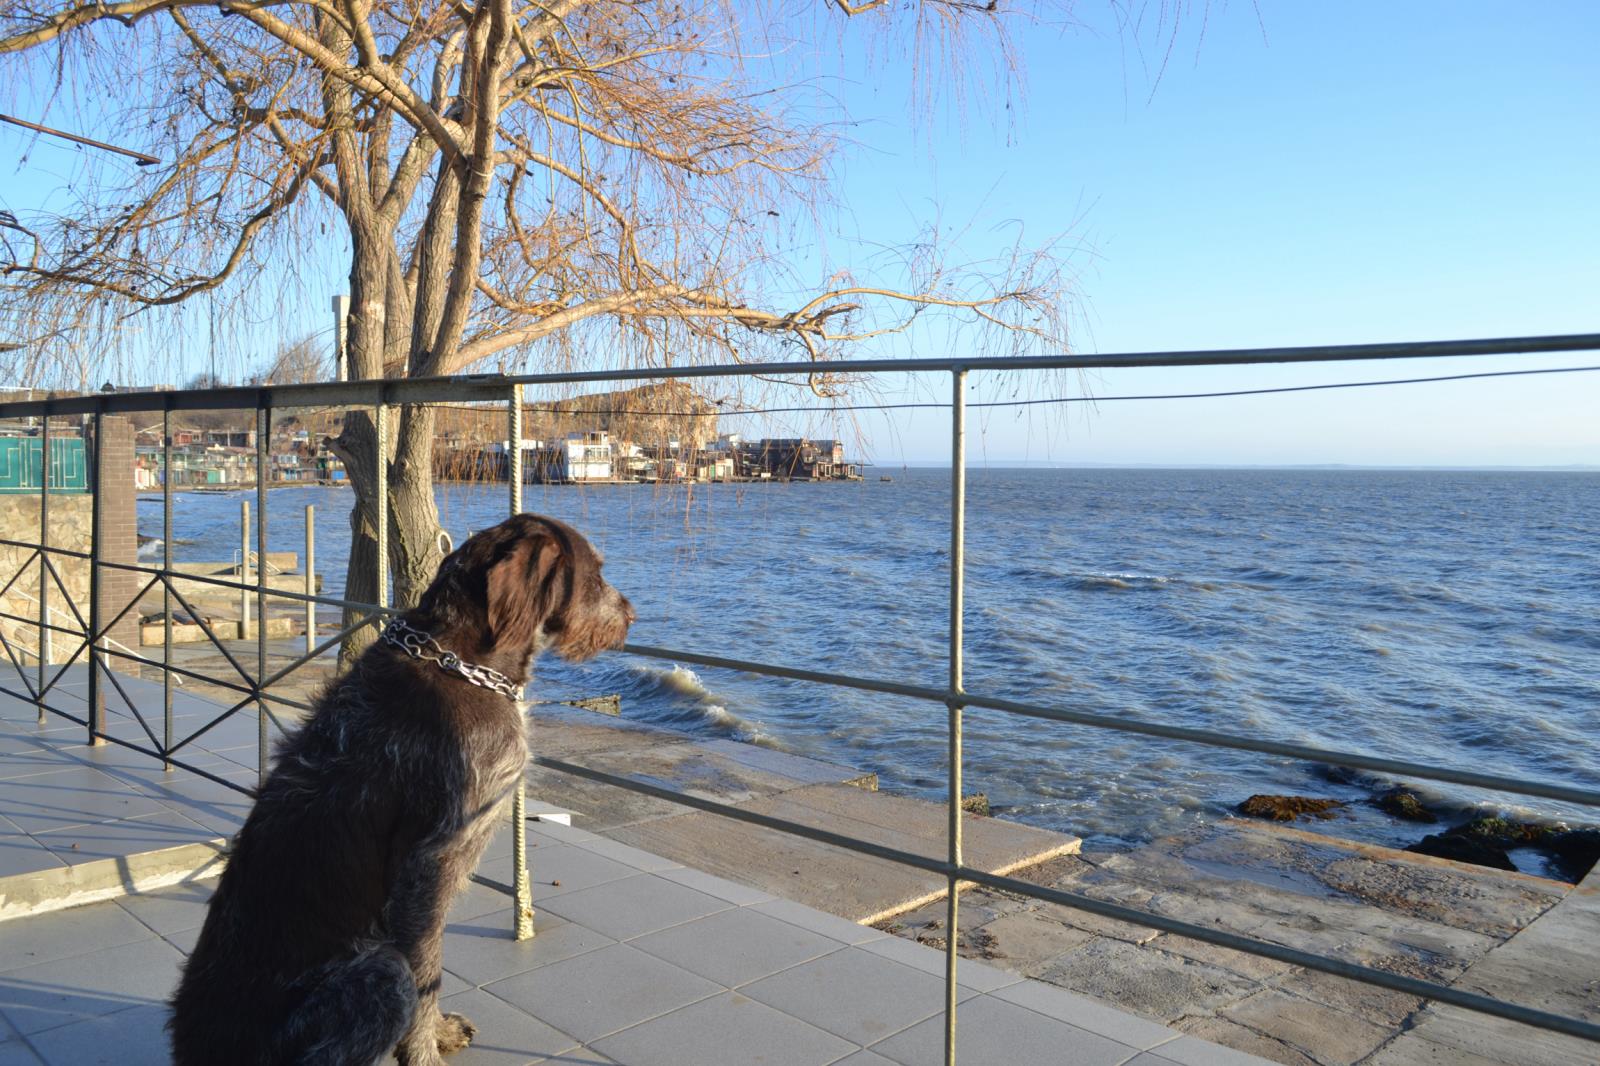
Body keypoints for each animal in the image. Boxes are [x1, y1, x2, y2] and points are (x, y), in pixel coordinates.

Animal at [169, 514, 634, 1065]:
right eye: (595, 573)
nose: (631, 614)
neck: (459, 658)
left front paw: (438, 1032)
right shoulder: (428, 866)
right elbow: (425, 972)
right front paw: (425, 1050)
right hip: (375, 975)